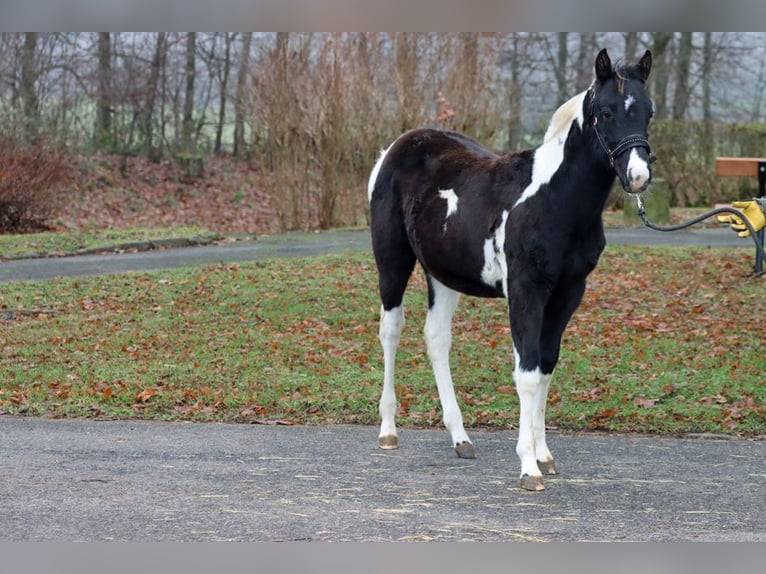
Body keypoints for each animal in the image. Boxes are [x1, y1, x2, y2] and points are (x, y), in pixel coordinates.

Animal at [367, 49, 655, 491]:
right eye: (606, 113)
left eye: (648, 113)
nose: (638, 176)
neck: (555, 200)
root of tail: (394, 148)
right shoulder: (525, 290)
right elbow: (527, 372)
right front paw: (528, 467)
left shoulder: (568, 293)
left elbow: (546, 366)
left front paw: (544, 456)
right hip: (392, 262)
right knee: (391, 330)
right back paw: (388, 430)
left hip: (442, 274)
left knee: (436, 338)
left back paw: (461, 438)